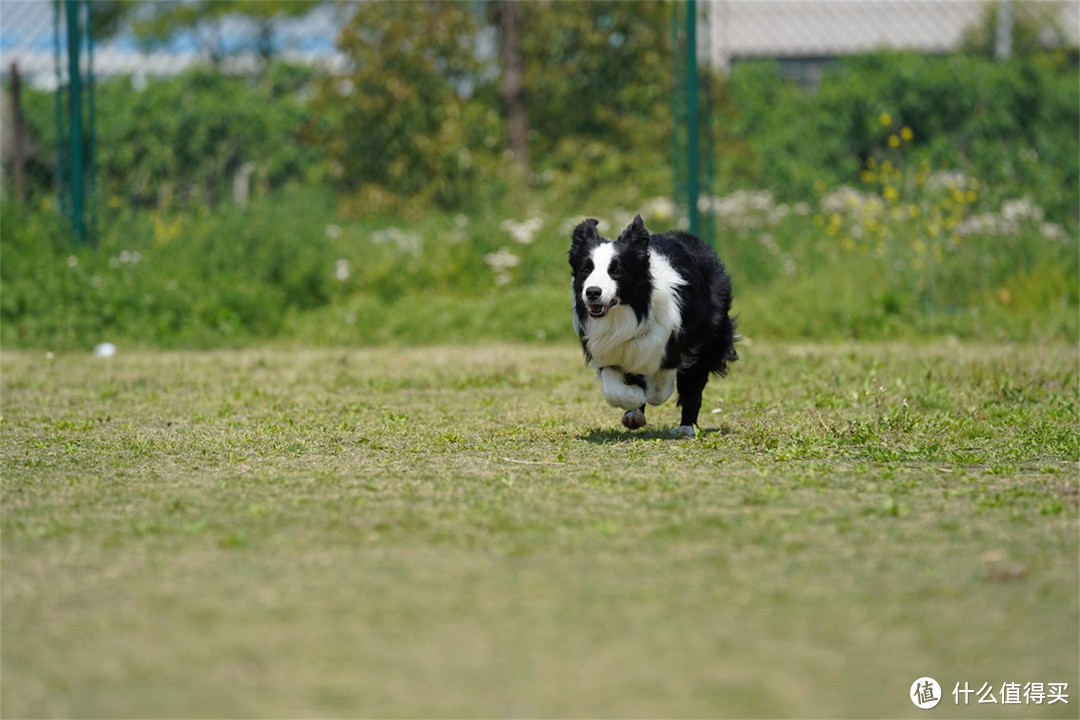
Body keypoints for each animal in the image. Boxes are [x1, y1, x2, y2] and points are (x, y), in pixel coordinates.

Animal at [570, 215, 738, 440]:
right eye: (585, 270)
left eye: (616, 271)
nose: (592, 292)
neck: (630, 311)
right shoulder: (609, 350)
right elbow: (614, 392)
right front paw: (634, 403)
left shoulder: (670, 347)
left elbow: (658, 391)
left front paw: (643, 396)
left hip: (709, 339)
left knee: (692, 385)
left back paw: (686, 427)